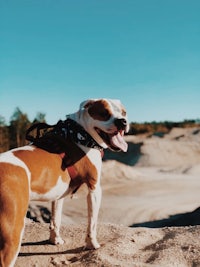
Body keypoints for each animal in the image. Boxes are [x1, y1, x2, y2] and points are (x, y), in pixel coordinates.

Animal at [0, 99, 128, 266]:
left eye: (124, 112)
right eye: (104, 113)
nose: (122, 121)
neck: (80, 134)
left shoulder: (58, 195)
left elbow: (56, 219)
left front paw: (55, 240)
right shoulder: (94, 189)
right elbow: (92, 223)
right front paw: (92, 244)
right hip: (12, 232)